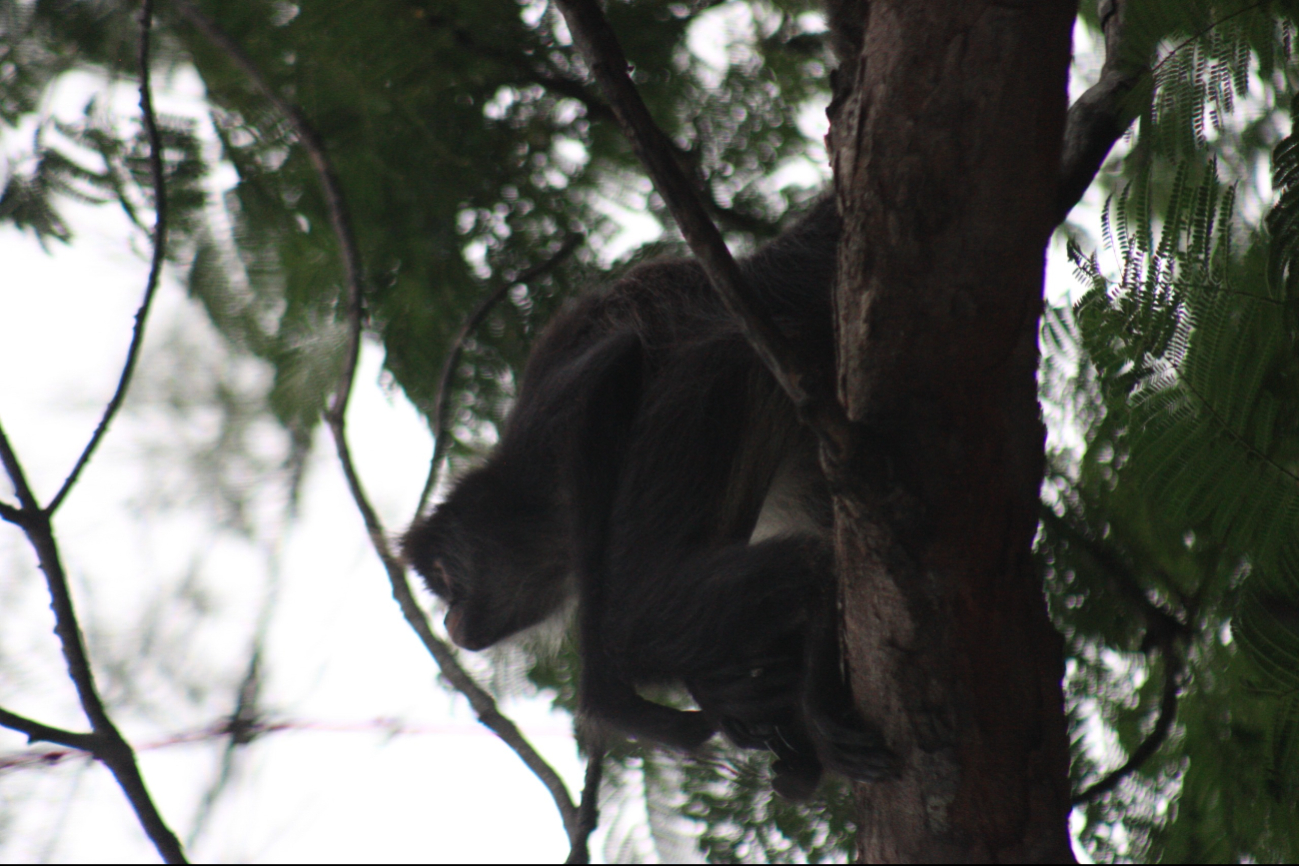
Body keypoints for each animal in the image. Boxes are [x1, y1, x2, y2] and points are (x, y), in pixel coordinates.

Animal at [405, 198, 893, 799]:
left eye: (446, 581)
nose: (451, 623)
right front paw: (736, 697)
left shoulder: (546, 427)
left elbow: (609, 373)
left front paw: (610, 698)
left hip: (707, 379)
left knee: (638, 617)